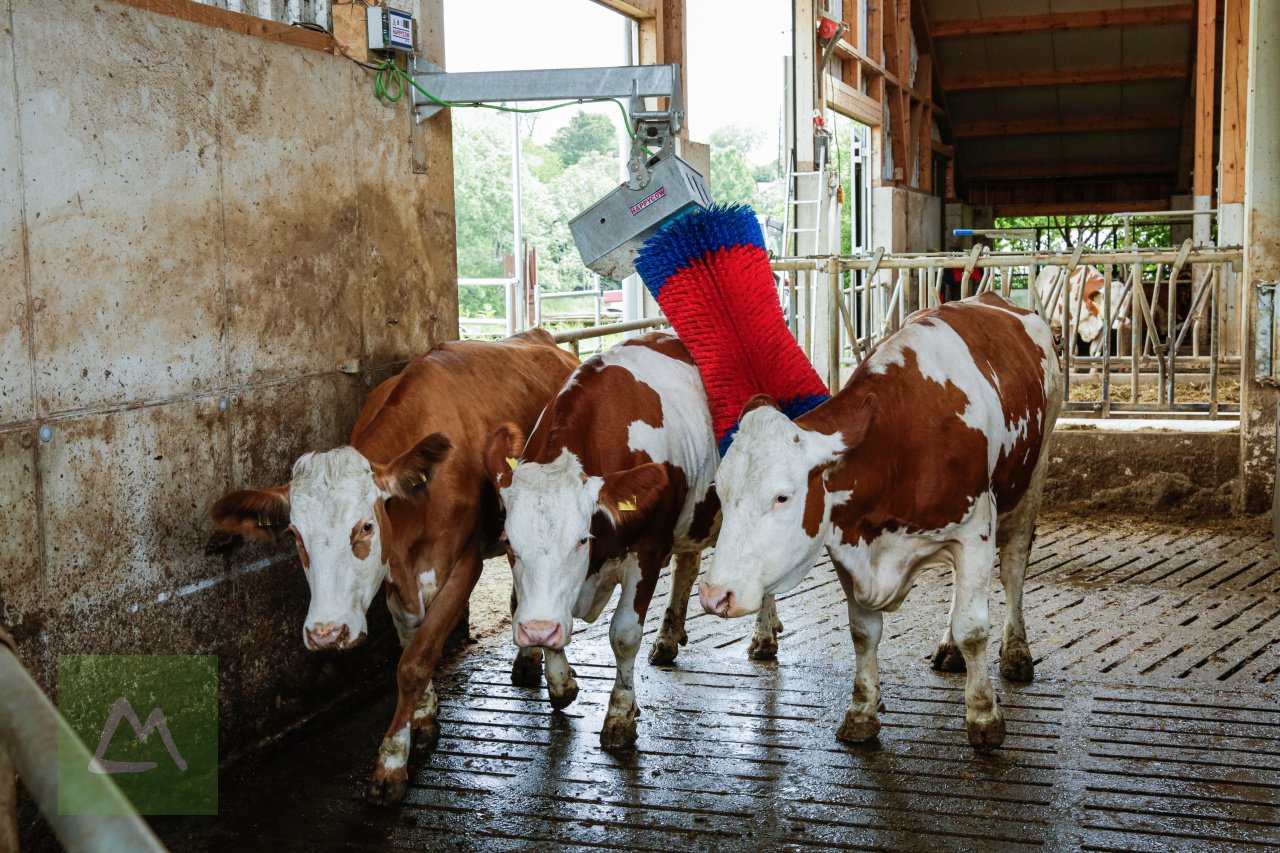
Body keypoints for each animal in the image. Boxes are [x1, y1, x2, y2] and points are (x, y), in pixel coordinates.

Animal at [207, 327, 578, 799]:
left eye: (366, 526)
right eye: (294, 535)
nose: (327, 633)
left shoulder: (465, 562)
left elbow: (416, 661)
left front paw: (390, 763)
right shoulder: (393, 575)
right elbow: (409, 643)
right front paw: (422, 718)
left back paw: (558, 678)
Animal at [481, 327, 778, 747]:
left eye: (582, 539)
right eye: (508, 542)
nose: (537, 629)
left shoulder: (648, 550)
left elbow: (623, 634)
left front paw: (620, 716)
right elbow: (539, 614)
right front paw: (561, 683)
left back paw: (765, 637)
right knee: (688, 564)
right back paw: (668, 637)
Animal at [701, 294, 1059, 753]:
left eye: (782, 496)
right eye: (721, 491)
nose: (714, 596)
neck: (899, 445)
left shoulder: (974, 533)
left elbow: (974, 627)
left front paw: (983, 716)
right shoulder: (849, 543)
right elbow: (863, 632)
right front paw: (861, 713)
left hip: (1034, 473)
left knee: (1014, 567)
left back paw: (1016, 652)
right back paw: (949, 650)